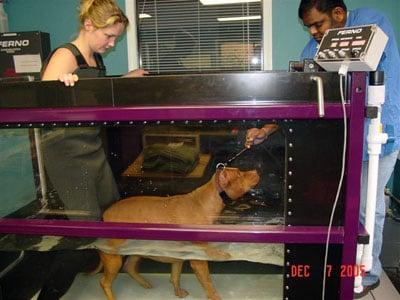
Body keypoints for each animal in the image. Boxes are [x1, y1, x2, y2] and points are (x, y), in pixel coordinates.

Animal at [97, 166, 260, 300]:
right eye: (239, 174)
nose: (256, 171)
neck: (203, 203)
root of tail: (105, 214)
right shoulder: (198, 259)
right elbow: (208, 282)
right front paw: (215, 296)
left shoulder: (179, 256)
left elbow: (175, 276)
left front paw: (178, 293)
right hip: (114, 258)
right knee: (104, 282)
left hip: (137, 250)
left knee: (129, 267)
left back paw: (144, 283)